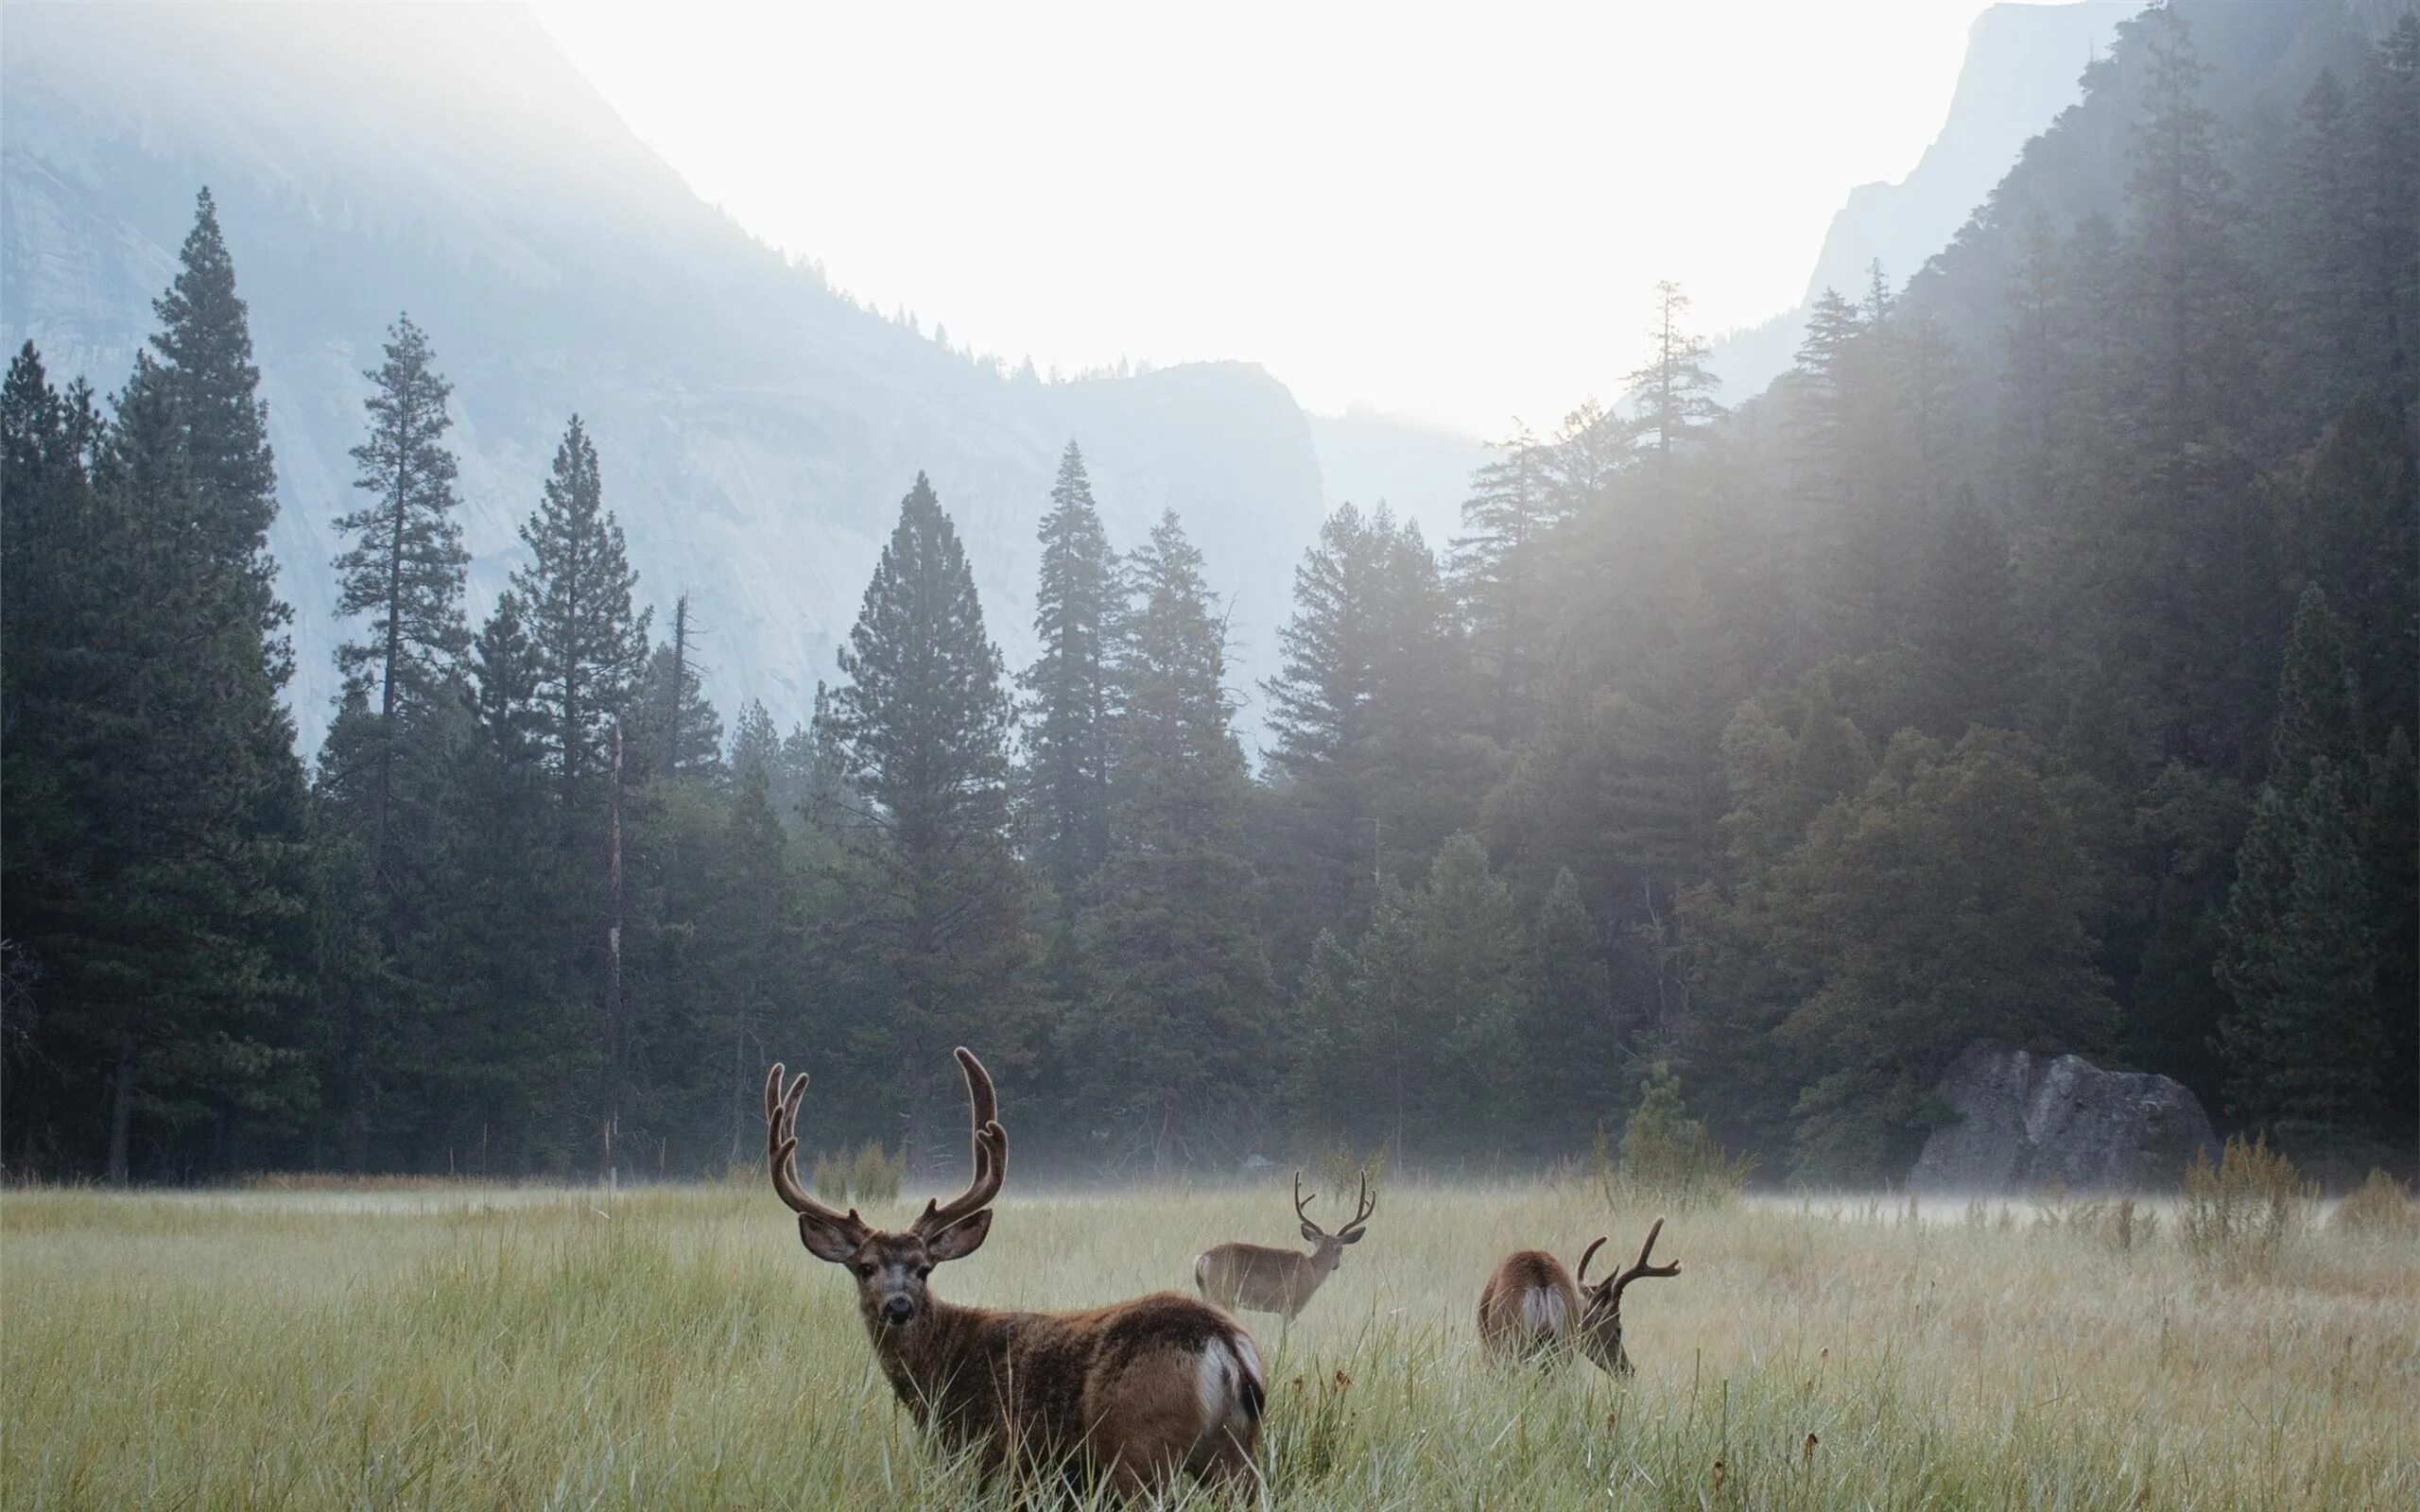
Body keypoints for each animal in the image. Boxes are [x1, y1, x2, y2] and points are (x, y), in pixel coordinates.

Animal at [764, 1050, 1268, 1500]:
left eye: (924, 1269)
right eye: (865, 1267)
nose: (899, 1306)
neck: (939, 1371)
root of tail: (1224, 1345)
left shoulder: (989, 1457)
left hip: (1139, 1449)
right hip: (1236, 1455)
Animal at [1195, 1160, 1384, 1315]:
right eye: (1340, 1249)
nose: (1336, 1265)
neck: (1313, 1270)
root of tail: (1202, 1259)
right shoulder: (1291, 1307)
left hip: (1207, 1295)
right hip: (1222, 1296)